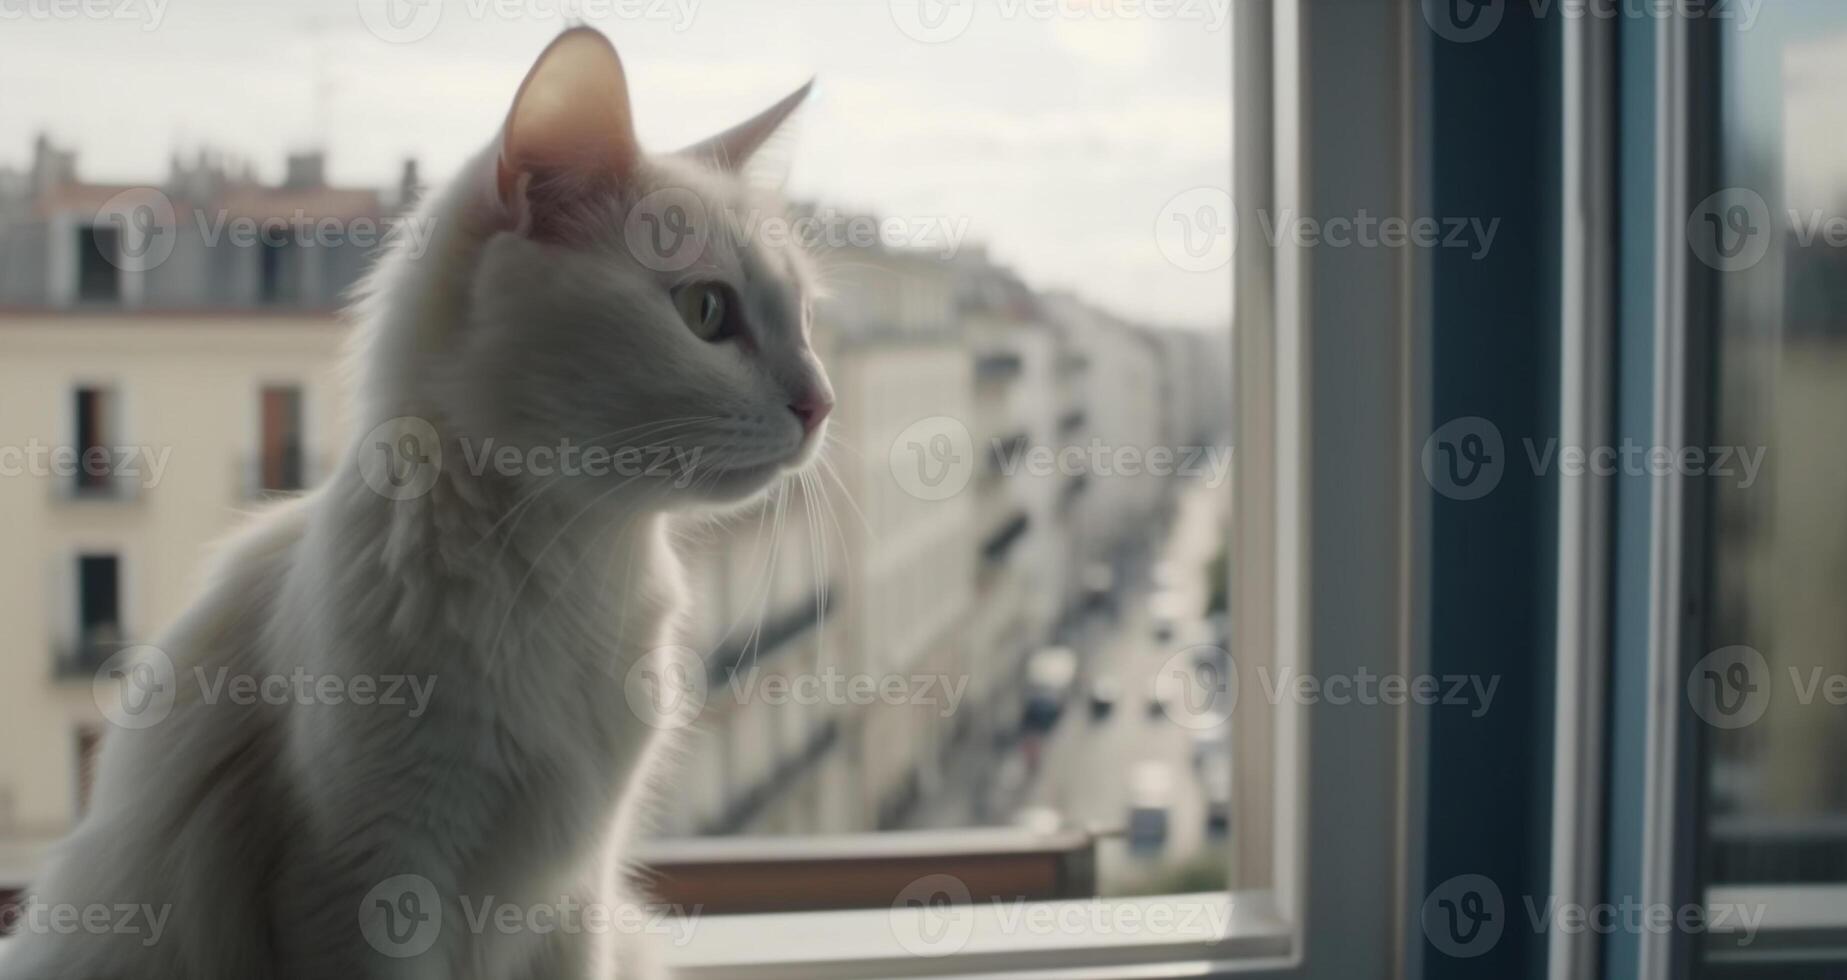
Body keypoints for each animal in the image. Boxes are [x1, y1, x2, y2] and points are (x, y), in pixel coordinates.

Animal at [0, 26, 831, 974]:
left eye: (804, 320)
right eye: (705, 311)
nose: (821, 403)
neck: (565, 566)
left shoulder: (573, 898)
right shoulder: (367, 885)